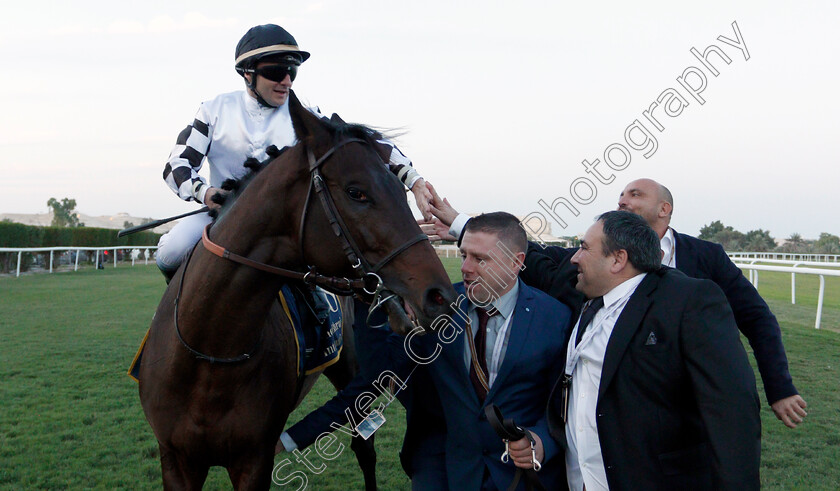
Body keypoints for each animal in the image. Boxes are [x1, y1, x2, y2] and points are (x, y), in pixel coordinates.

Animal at [139, 90, 456, 490]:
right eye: (356, 192)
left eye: (402, 190)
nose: (439, 294)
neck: (209, 353)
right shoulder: (176, 459)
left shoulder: (254, 460)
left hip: (351, 371)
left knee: (364, 447)